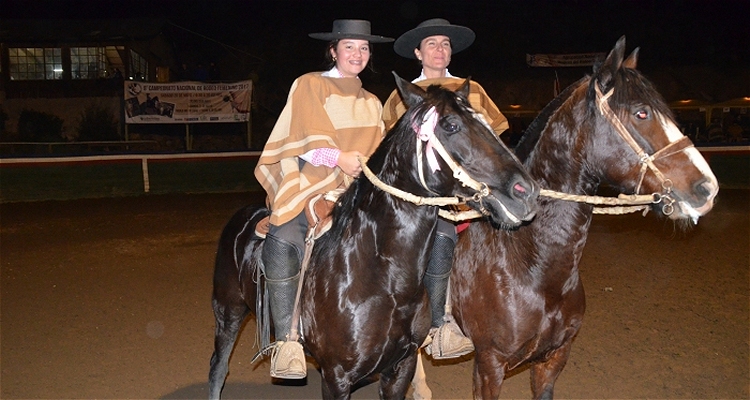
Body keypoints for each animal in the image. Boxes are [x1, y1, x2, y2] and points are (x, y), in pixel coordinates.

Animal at [210, 75, 540, 400]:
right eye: (450, 125)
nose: (525, 192)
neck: (381, 277)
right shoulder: (336, 378)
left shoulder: (400, 368)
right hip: (228, 313)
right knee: (217, 369)